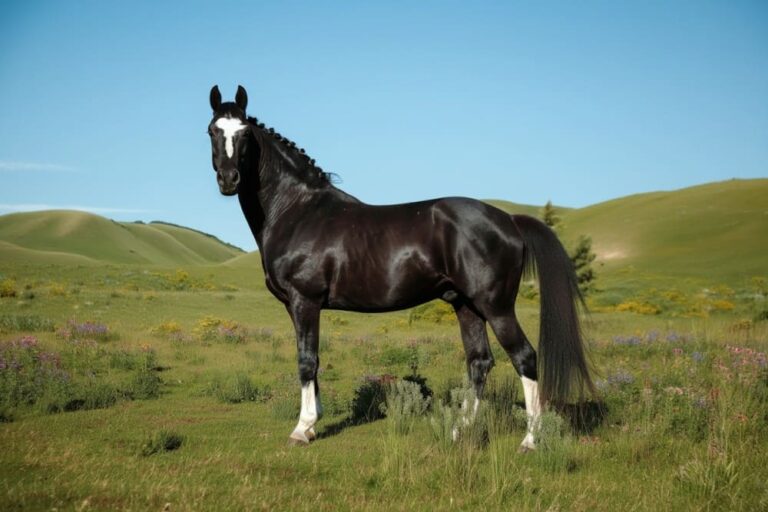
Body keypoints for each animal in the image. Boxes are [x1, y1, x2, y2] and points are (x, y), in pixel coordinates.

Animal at [206, 85, 594, 450]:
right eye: (212, 130)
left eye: (244, 133)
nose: (229, 180)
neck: (298, 211)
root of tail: (509, 220)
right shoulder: (295, 306)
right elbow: (312, 359)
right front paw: (313, 422)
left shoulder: (305, 301)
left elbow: (307, 361)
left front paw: (302, 429)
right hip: (466, 306)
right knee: (479, 362)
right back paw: (460, 430)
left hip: (496, 307)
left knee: (524, 357)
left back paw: (530, 440)